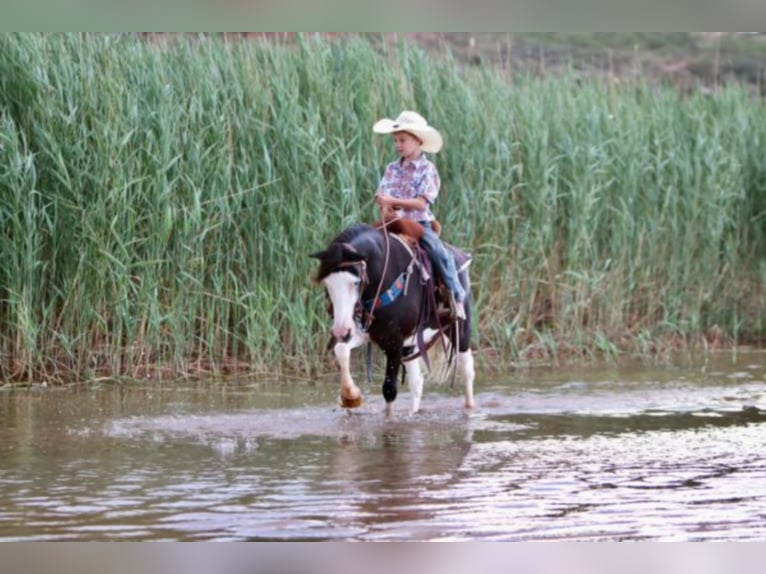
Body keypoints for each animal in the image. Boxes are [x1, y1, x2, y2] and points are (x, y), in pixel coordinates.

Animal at [310, 223, 476, 416]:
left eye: (356, 283)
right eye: (327, 284)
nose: (339, 331)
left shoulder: (394, 341)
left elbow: (389, 390)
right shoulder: (367, 333)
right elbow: (341, 350)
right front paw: (351, 397)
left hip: (460, 331)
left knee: (467, 370)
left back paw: (470, 407)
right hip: (410, 344)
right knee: (416, 383)